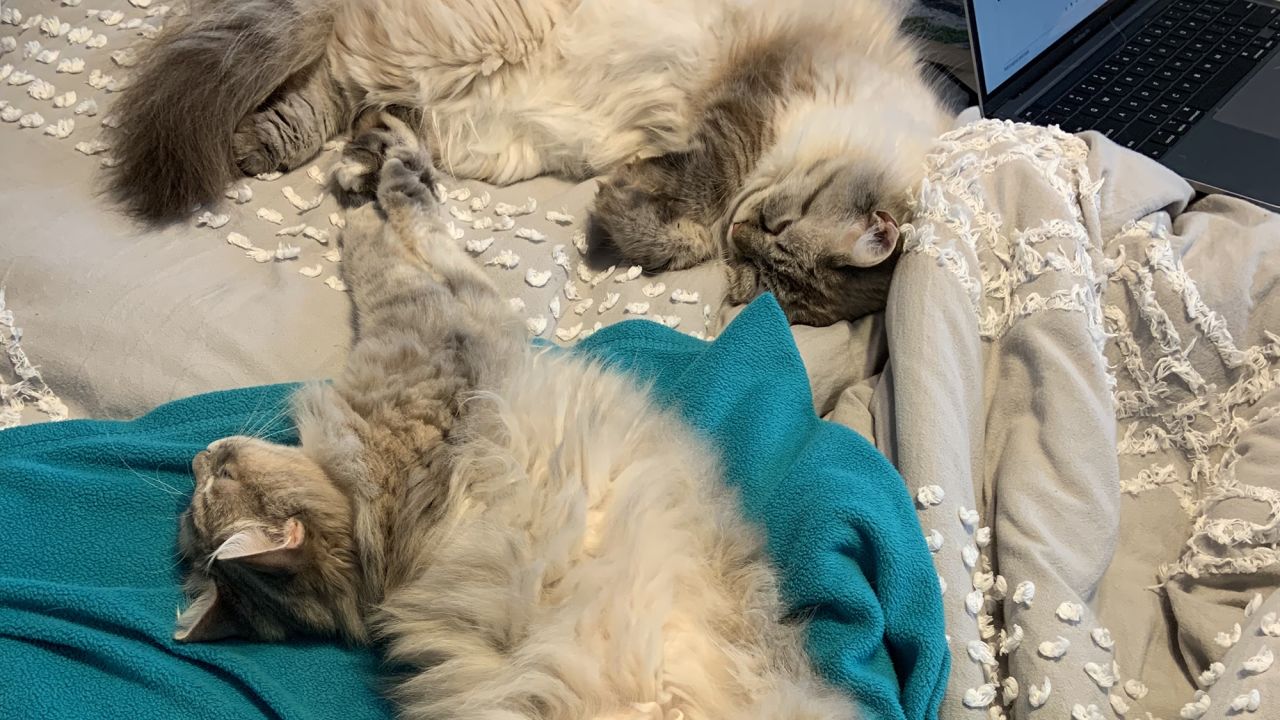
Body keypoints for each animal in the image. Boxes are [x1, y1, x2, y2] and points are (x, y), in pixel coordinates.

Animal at [107, 0, 952, 322]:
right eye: (774, 228)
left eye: (757, 270)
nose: (747, 240)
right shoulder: (754, 98)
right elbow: (701, 197)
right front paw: (632, 220)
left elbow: (684, 223)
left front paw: (632, 224)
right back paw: (252, 149)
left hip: (442, 103)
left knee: (337, 101)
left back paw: (293, 151)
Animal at [172, 112, 860, 717]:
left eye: (214, 481)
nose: (200, 456)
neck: (371, 545)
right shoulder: (444, 318)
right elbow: (396, 232)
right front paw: (382, 177)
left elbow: (399, 226)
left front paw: (373, 164)